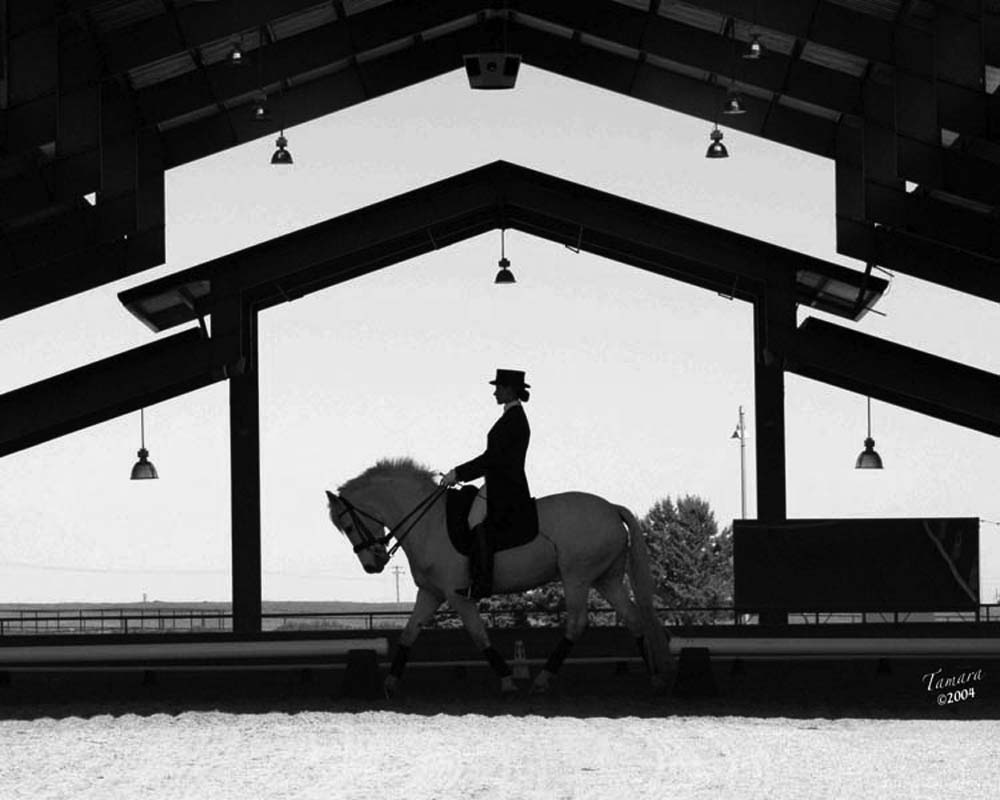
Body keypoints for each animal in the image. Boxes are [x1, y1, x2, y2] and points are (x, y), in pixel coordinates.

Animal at [328, 460, 672, 696]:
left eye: (348, 524)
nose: (373, 565)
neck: (429, 523)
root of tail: (611, 508)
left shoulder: (457, 595)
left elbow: (479, 636)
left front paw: (507, 681)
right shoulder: (430, 593)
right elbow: (409, 634)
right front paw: (389, 683)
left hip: (577, 577)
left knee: (577, 623)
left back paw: (542, 680)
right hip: (606, 579)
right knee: (634, 619)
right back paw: (655, 678)